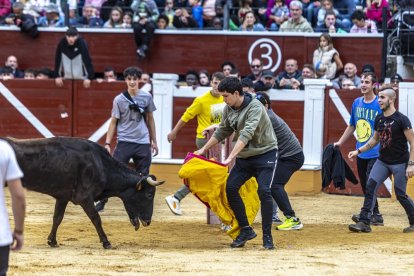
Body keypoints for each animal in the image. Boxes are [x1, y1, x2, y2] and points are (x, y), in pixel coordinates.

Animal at [4, 137, 165, 249]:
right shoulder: (85, 198)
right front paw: (106, 242)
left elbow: (57, 218)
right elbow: (96, 218)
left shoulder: (62, 197)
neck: (101, 165)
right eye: (149, 195)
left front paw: (52, 241)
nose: (148, 221)